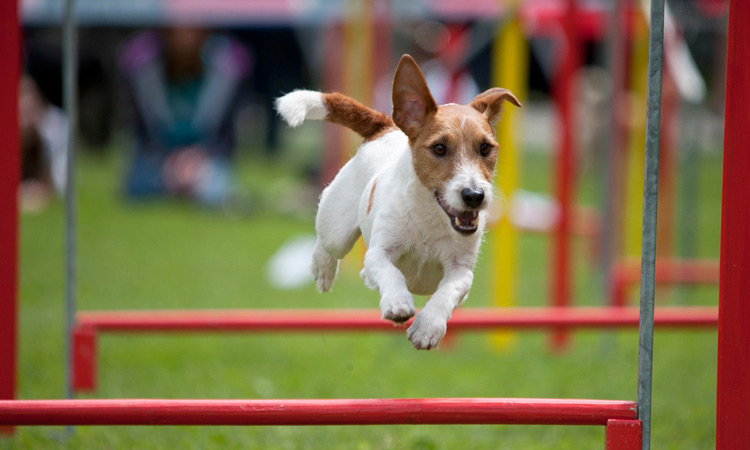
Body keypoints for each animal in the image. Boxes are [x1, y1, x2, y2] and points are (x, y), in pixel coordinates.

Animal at [276, 52, 524, 348]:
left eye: (485, 148)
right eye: (439, 148)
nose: (474, 196)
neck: (431, 216)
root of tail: (385, 127)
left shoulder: (461, 269)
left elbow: (448, 291)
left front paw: (428, 326)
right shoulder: (379, 253)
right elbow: (390, 271)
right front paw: (398, 303)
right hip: (335, 228)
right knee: (327, 244)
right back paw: (322, 269)